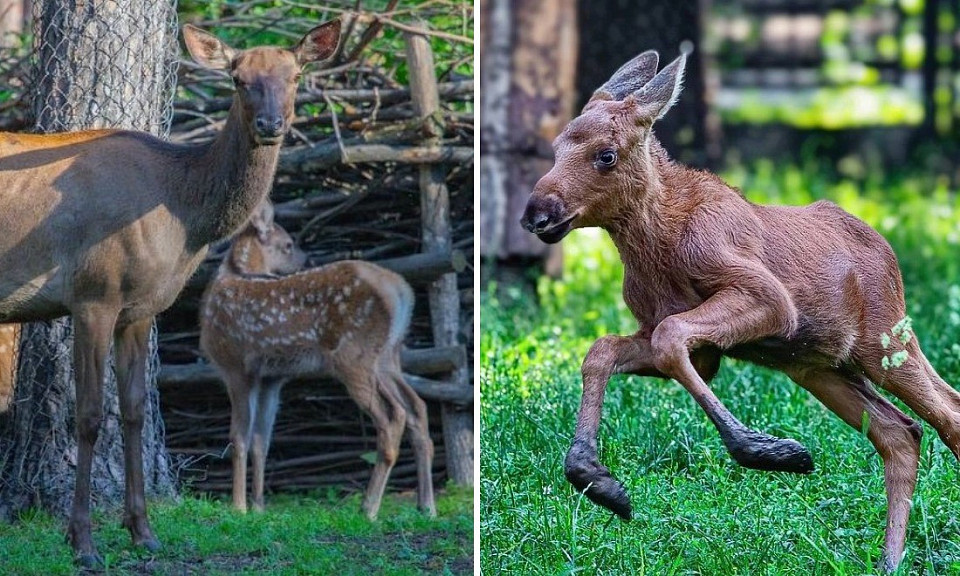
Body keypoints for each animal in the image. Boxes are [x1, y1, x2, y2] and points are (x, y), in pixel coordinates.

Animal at [0, 20, 342, 564]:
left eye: (295, 75)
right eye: (237, 79)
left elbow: (136, 411)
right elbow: (90, 416)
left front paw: (142, 530)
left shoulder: (140, 308)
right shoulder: (94, 294)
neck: (183, 224)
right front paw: (83, 542)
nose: (271, 124)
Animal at [201, 201, 436, 516]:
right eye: (288, 244)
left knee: (392, 416)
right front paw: (258, 507)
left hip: (354, 355)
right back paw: (427, 506)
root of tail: (401, 291)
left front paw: (238, 507)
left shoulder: (235, 364)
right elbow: (261, 440)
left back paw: (369, 508)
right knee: (416, 407)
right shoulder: (271, 376)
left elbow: (238, 437)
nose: (306, 258)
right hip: (389, 355)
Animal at [520, 49, 960, 572]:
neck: (654, 247)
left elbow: (670, 337)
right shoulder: (685, 341)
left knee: (947, 413)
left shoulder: (767, 297)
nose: (536, 213)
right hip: (820, 366)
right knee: (901, 432)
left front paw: (769, 450)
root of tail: (889, 255)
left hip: (886, 340)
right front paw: (598, 480)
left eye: (606, 155)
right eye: (556, 147)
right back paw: (889, 560)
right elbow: (603, 349)